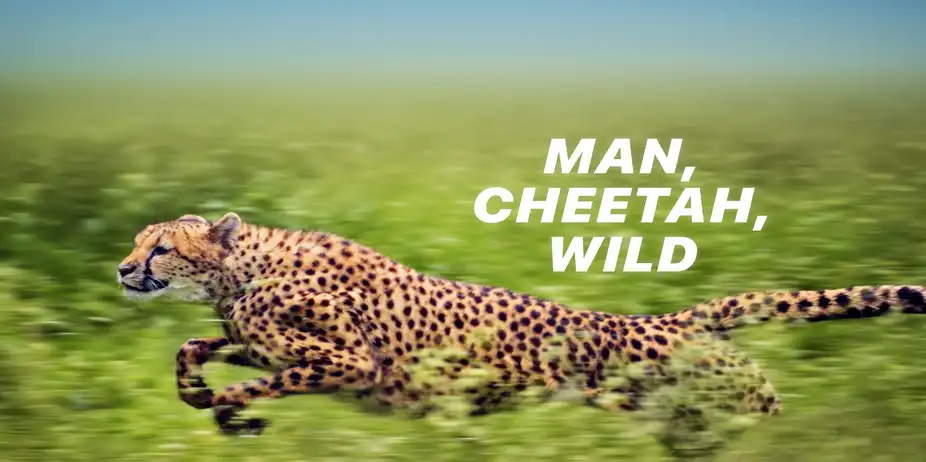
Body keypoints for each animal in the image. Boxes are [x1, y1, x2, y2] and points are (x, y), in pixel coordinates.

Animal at [117, 212, 926, 435]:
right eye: (136, 242)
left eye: (160, 247)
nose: (124, 270)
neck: (242, 268)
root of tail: (667, 320)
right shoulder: (261, 343)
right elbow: (195, 347)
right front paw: (200, 394)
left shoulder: (350, 364)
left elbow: (247, 381)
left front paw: (230, 413)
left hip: (728, 404)